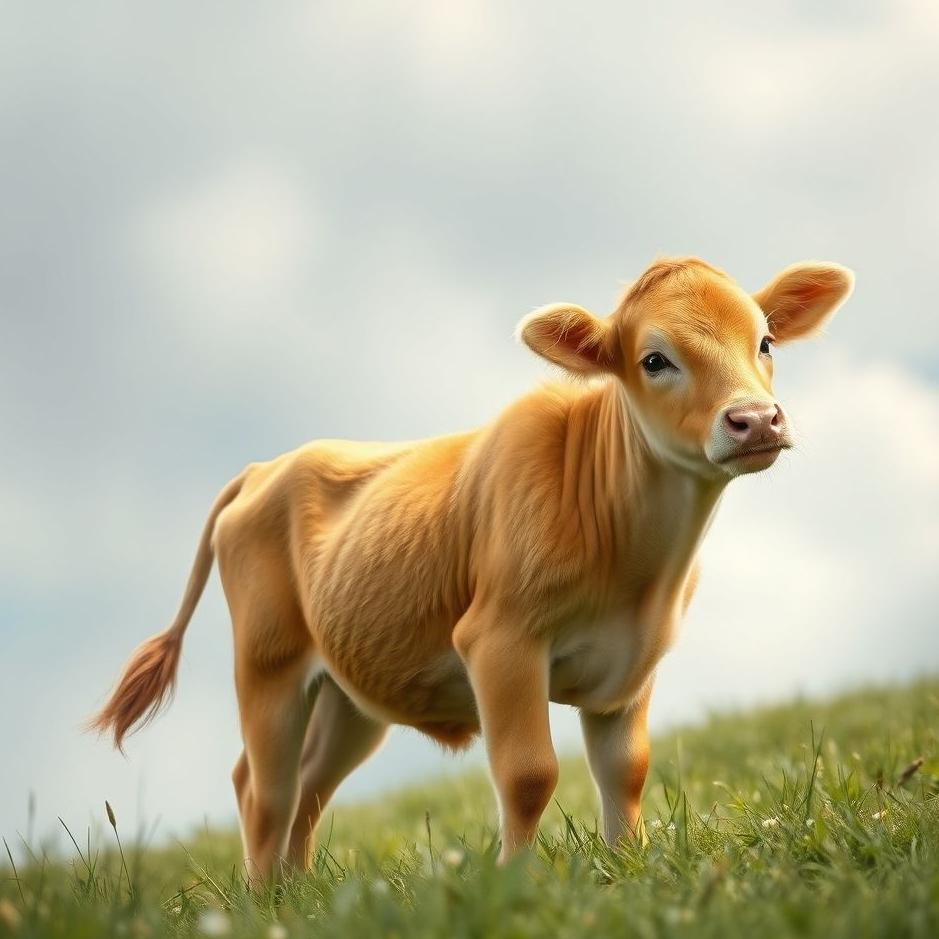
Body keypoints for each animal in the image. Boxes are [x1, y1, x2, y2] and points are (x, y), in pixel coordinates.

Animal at [91, 256, 853, 879]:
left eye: (765, 342)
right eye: (655, 359)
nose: (755, 419)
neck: (639, 572)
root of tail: (267, 464)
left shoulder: (631, 665)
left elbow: (626, 771)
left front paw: (628, 868)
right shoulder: (499, 640)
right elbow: (528, 773)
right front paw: (515, 882)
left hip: (345, 692)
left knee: (308, 785)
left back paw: (295, 895)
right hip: (267, 662)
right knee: (264, 788)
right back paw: (260, 905)